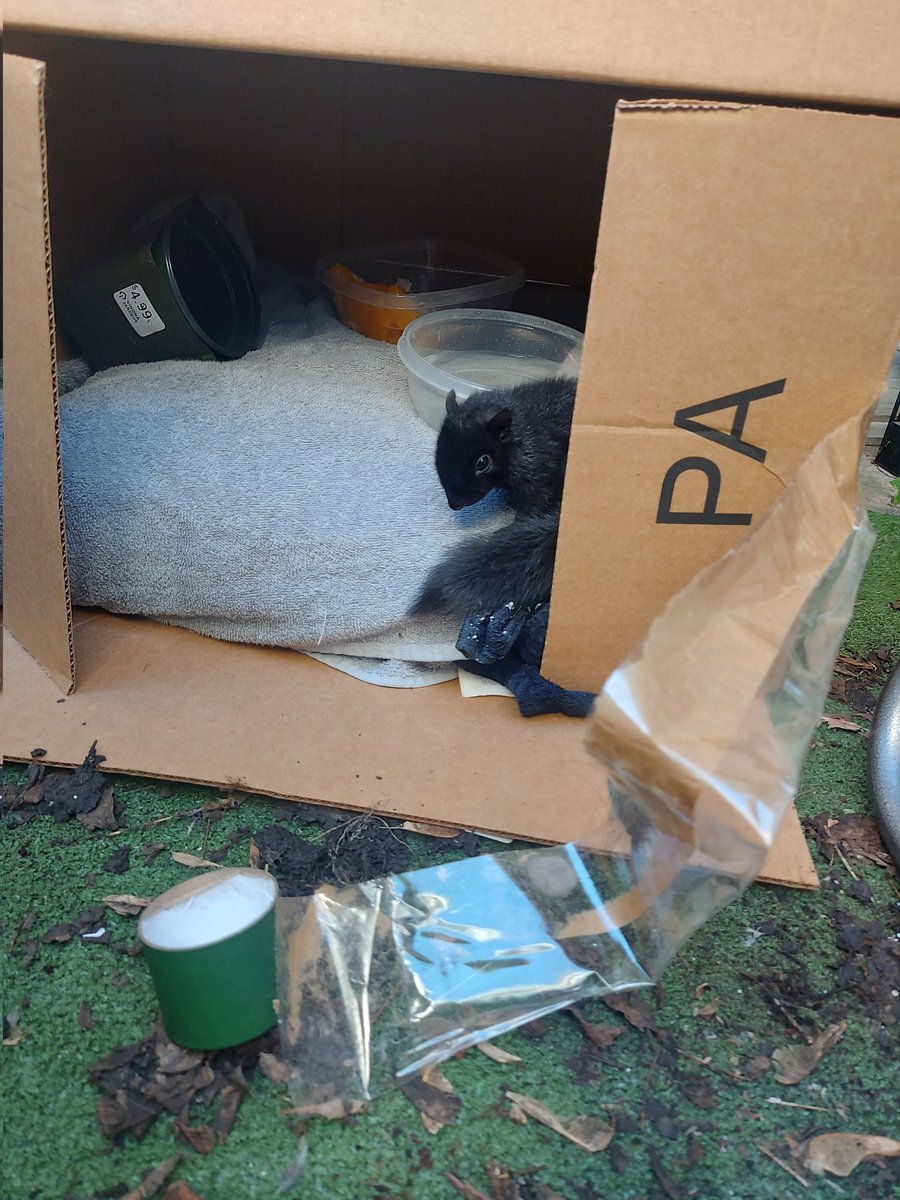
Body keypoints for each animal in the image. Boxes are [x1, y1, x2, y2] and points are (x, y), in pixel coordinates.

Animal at [411, 377, 576, 616]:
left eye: (483, 463)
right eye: (439, 448)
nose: (454, 504)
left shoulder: (537, 467)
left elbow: (534, 504)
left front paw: (511, 527)